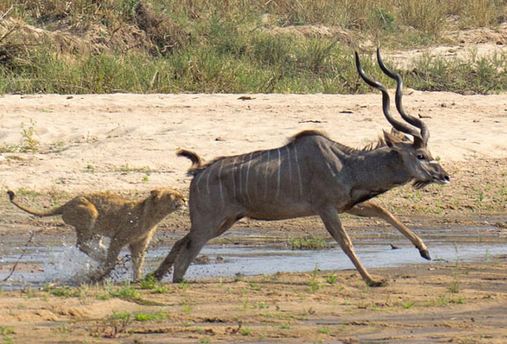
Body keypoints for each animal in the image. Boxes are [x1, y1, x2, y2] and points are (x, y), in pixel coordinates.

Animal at [154, 47, 448, 284]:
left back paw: (154, 276)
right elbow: (346, 241)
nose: (444, 176)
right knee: (186, 254)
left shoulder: (347, 205)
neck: (346, 164)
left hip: (225, 221)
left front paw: (425, 250)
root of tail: (198, 173)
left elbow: (383, 211)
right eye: (420, 155)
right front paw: (372, 280)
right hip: (209, 223)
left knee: (181, 242)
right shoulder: (326, 208)